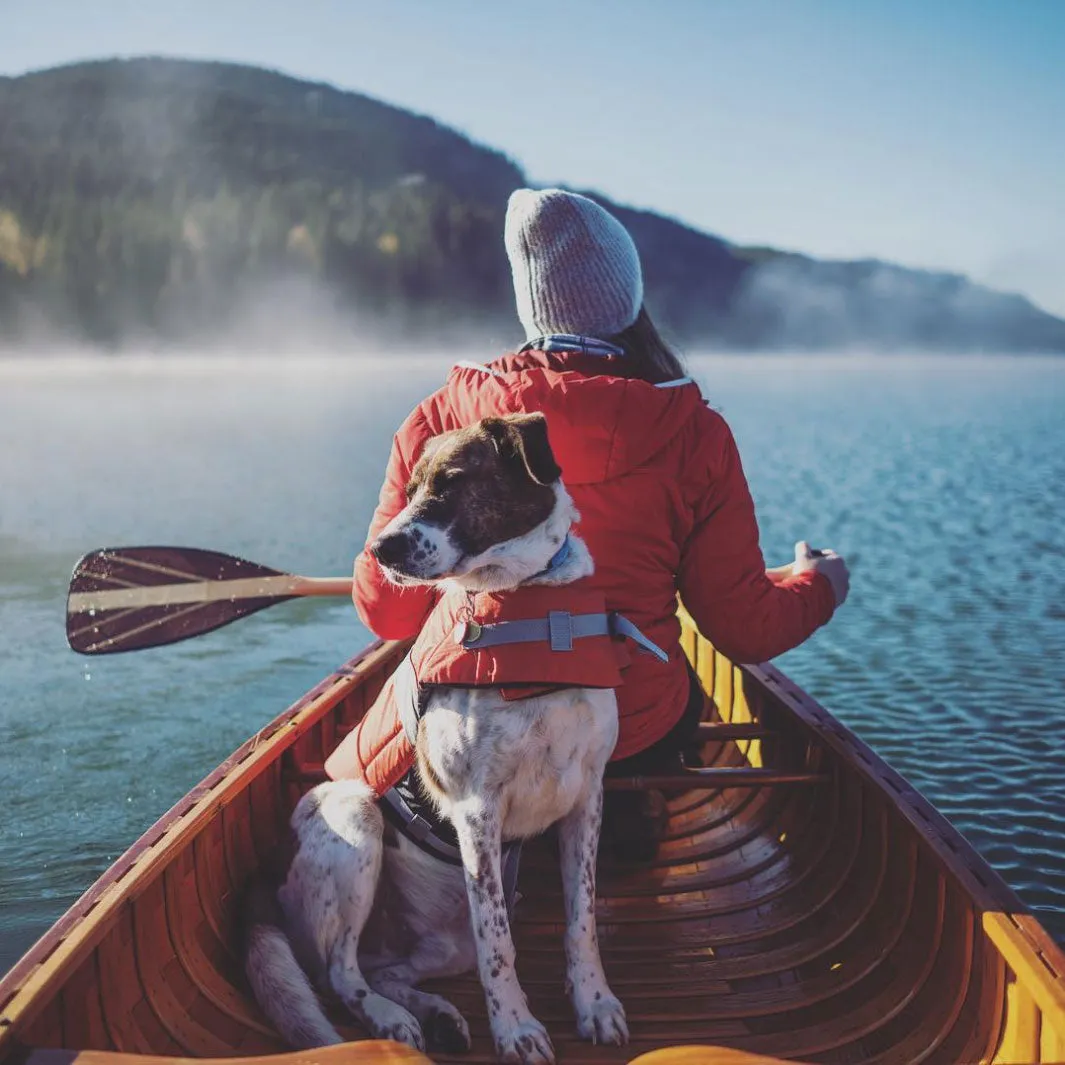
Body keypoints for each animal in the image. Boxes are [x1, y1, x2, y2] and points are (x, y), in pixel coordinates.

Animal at [244, 413, 626, 1065]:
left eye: (450, 483)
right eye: (408, 489)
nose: (379, 550)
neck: (527, 604)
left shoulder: (587, 796)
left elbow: (582, 921)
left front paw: (594, 1003)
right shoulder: (477, 810)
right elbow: (499, 942)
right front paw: (516, 1028)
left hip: (440, 943)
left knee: (387, 968)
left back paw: (437, 1015)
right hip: (355, 815)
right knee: (341, 972)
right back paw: (392, 1019)